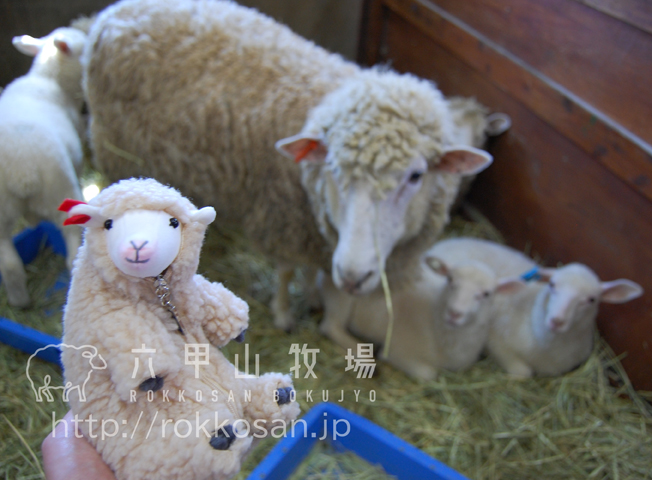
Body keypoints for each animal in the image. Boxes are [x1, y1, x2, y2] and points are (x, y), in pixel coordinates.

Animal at [0, 27, 86, 308]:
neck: (47, 78)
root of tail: (21, 171)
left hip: (1, 213)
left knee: (10, 265)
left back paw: (19, 302)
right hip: (62, 190)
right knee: (72, 256)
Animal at [59, 179, 300, 480]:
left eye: (173, 222)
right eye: (108, 224)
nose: (138, 246)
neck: (158, 293)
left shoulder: (194, 295)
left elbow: (213, 301)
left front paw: (239, 329)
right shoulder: (110, 316)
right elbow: (134, 339)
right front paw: (151, 379)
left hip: (238, 386)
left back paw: (279, 396)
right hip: (162, 449)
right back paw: (223, 437)